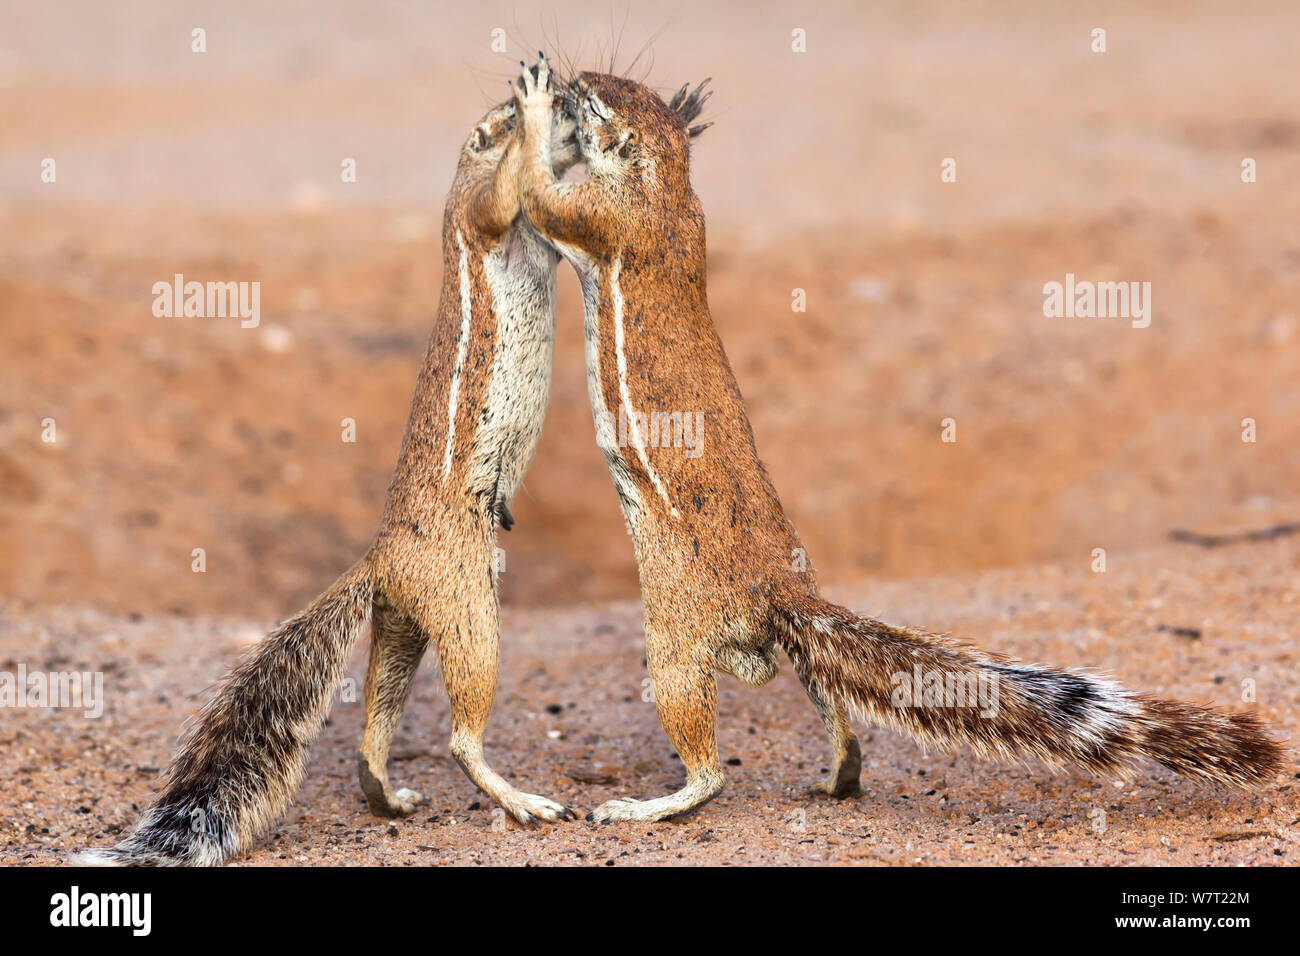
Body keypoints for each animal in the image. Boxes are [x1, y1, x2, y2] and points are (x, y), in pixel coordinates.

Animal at [82, 91, 585, 868]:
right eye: (504, 111)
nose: (569, 100)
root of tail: (379, 560)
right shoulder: (484, 213)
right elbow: (508, 197)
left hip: (405, 620)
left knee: (377, 718)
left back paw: (390, 797)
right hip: (467, 606)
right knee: (460, 732)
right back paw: (521, 801)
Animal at [512, 57, 1284, 822]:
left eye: (598, 101)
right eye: (612, 85)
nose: (577, 77)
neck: (668, 186)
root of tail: (783, 588)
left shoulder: (599, 217)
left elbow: (546, 204)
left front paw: (531, 112)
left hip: (675, 638)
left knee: (709, 762)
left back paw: (648, 806)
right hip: (784, 655)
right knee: (830, 698)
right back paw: (838, 777)